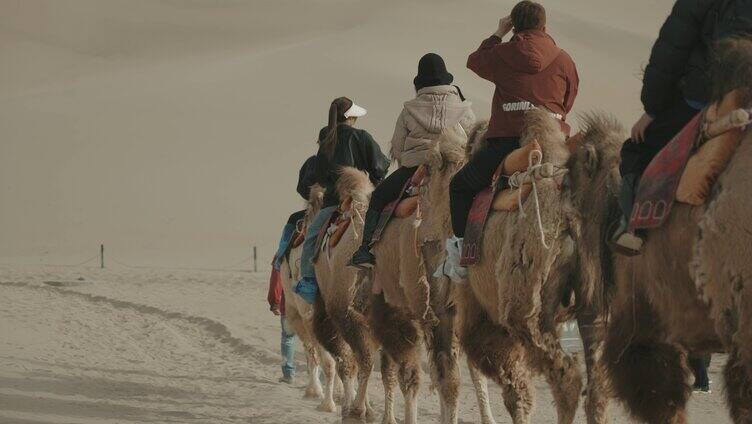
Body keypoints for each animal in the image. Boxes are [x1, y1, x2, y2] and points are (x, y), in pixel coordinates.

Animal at [312, 169, 378, 420]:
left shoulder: (334, 313)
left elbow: (348, 361)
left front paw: (354, 409)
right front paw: (364, 409)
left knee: (358, 359)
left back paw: (355, 410)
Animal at [458, 109, 616, 424]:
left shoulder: (476, 306)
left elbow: (512, 386)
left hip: (526, 305)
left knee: (567, 377)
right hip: (595, 303)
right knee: (597, 387)